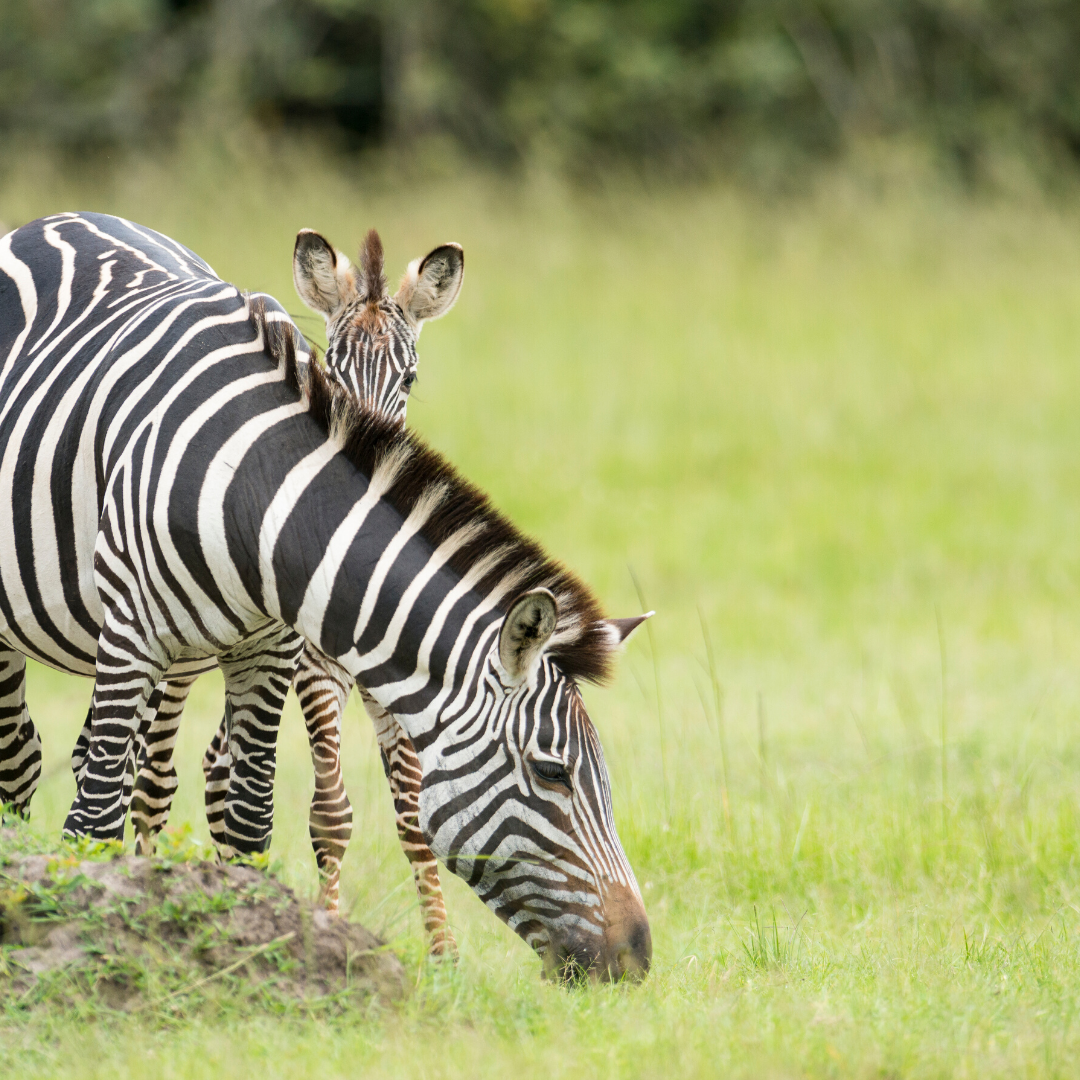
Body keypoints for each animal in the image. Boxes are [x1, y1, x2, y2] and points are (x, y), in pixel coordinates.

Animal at [0, 210, 648, 980]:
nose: (640, 955)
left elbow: (252, 817)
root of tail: (66, 219)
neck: (254, 491)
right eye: (554, 773)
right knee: (28, 764)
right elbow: (95, 817)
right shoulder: (135, 638)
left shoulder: (271, 649)